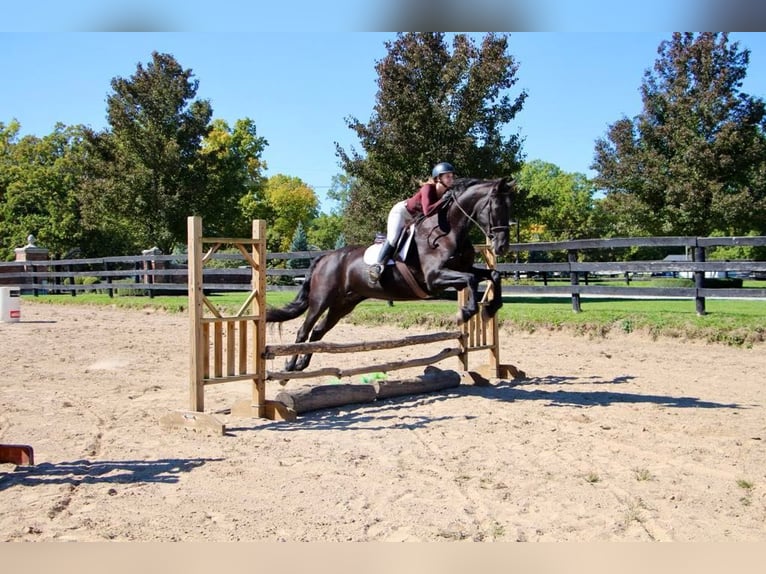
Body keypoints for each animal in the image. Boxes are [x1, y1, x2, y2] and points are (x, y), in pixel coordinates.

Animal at [268, 177, 512, 374]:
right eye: (495, 207)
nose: (502, 247)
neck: (447, 231)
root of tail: (325, 258)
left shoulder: (463, 269)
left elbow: (492, 275)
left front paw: (490, 309)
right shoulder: (434, 279)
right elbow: (471, 280)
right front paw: (465, 313)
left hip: (343, 304)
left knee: (318, 331)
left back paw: (302, 364)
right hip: (321, 299)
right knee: (304, 330)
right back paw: (289, 366)